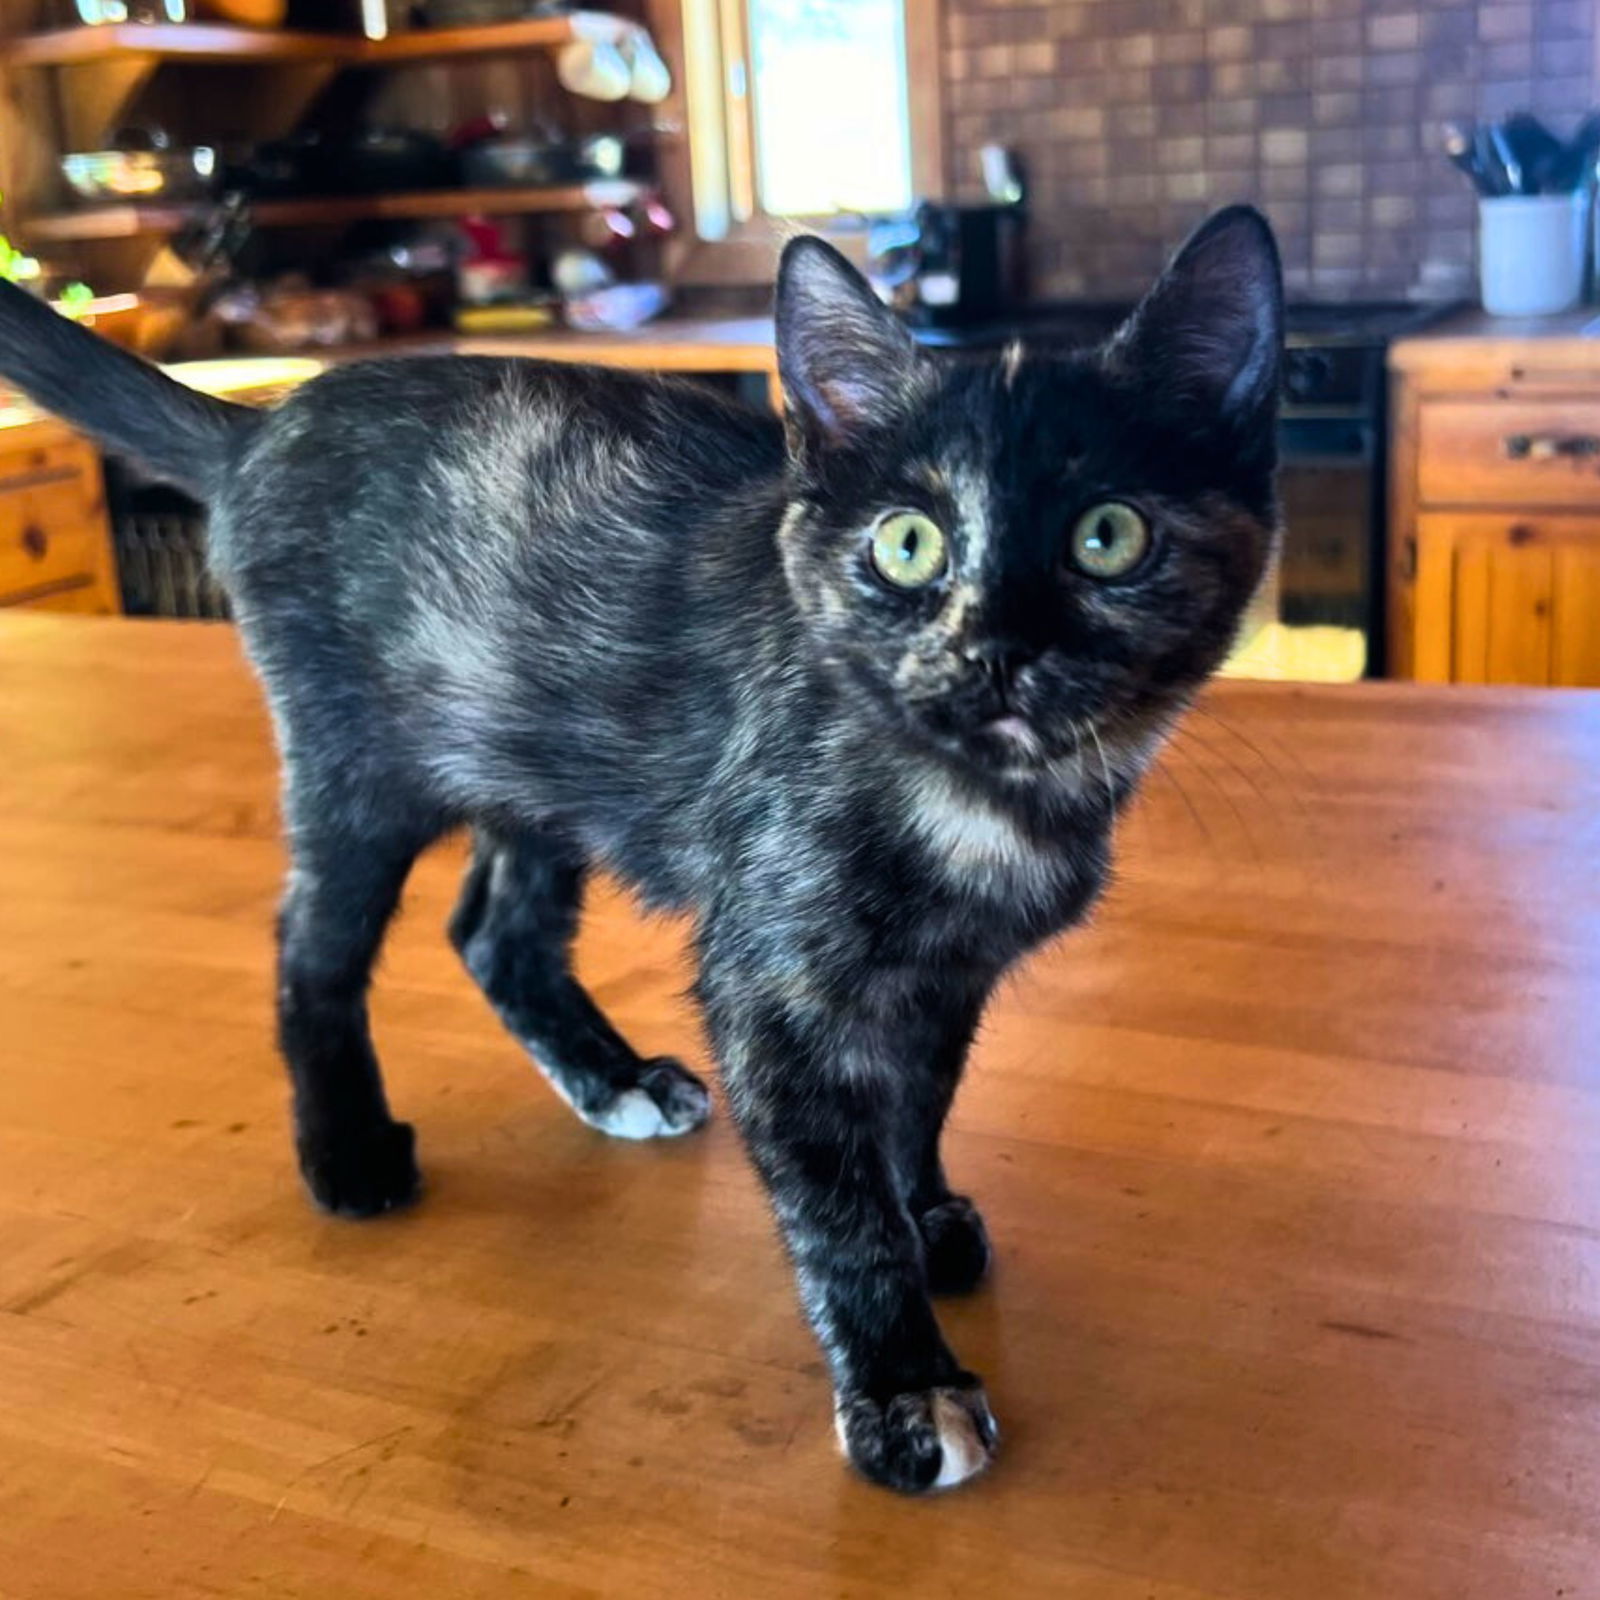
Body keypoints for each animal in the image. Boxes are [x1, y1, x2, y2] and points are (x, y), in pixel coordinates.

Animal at [0, 206, 1280, 1491]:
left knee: (493, 931)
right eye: (907, 545)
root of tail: (260, 426)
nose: (996, 649)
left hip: (538, 757)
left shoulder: (946, 976)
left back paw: (610, 1082)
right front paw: (902, 1383)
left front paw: (925, 1215)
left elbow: (916, 1101)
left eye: (1107, 537)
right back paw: (349, 1147)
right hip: (359, 762)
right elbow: (835, 1200)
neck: (982, 799)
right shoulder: (770, 982)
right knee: (312, 945)